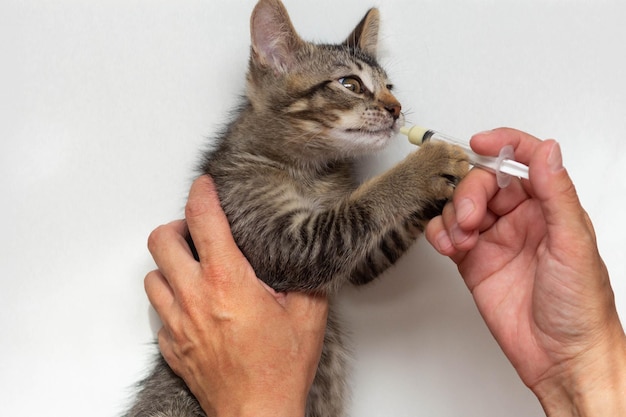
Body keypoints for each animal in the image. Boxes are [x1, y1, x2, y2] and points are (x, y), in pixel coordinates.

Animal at [124, 0, 466, 416]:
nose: (397, 109)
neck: (312, 170)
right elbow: (360, 208)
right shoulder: (287, 240)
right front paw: (428, 163)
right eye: (349, 84)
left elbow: (379, 238)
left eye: (390, 87)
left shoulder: (359, 261)